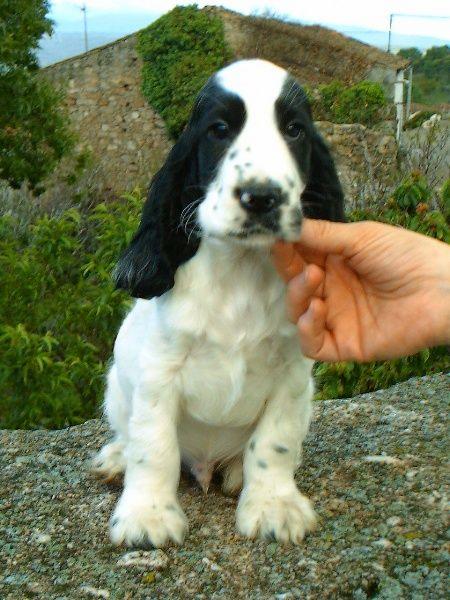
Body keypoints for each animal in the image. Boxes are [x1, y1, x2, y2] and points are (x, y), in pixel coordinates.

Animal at [92, 58, 344, 548]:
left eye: (295, 130)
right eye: (220, 129)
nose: (261, 197)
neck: (240, 272)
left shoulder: (293, 377)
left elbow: (274, 442)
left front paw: (273, 504)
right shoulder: (158, 373)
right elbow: (153, 446)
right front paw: (148, 515)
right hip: (116, 386)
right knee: (129, 434)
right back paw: (116, 458)